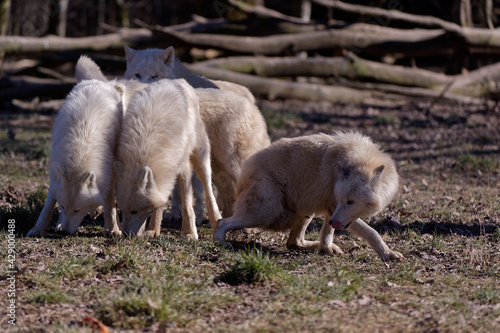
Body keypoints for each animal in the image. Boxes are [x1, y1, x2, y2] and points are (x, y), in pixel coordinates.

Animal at [26, 80, 125, 236]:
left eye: (77, 210)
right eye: (63, 207)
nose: (65, 232)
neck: (79, 155)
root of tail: (103, 82)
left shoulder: (109, 174)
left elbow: (110, 205)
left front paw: (113, 229)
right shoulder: (55, 178)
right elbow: (48, 206)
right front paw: (38, 228)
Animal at [115, 79, 221, 237]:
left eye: (134, 211)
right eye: (123, 210)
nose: (126, 235)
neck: (145, 146)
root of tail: (177, 81)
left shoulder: (182, 166)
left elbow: (187, 203)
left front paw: (190, 233)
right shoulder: (165, 171)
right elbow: (160, 201)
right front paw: (152, 229)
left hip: (200, 156)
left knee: (208, 190)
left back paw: (216, 222)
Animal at [213, 131, 404, 260]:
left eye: (351, 202)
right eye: (343, 200)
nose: (335, 221)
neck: (361, 157)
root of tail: (244, 172)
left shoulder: (331, 210)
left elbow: (327, 232)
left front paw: (326, 249)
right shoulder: (334, 209)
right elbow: (372, 232)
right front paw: (388, 254)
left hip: (305, 211)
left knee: (293, 243)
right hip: (267, 213)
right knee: (221, 221)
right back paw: (220, 242)